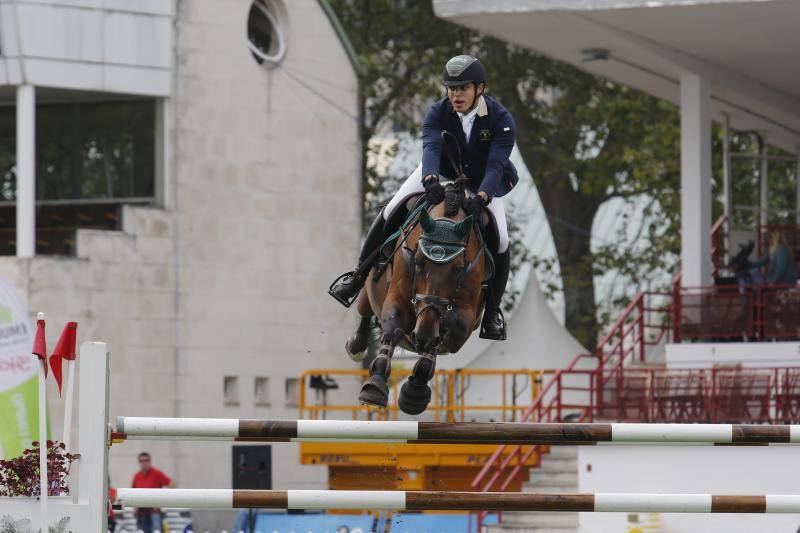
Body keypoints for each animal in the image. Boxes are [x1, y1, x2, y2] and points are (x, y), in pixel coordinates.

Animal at [344, 179, 491, 415]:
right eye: (418, 261)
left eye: (458, 269)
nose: (422, 335)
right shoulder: (396, 299)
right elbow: (393, 328)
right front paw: (374, 387)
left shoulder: (466, 320)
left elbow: (446, 330)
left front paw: (414, 393)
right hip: (368, 291)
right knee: (365, 312)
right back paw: (356, 345)